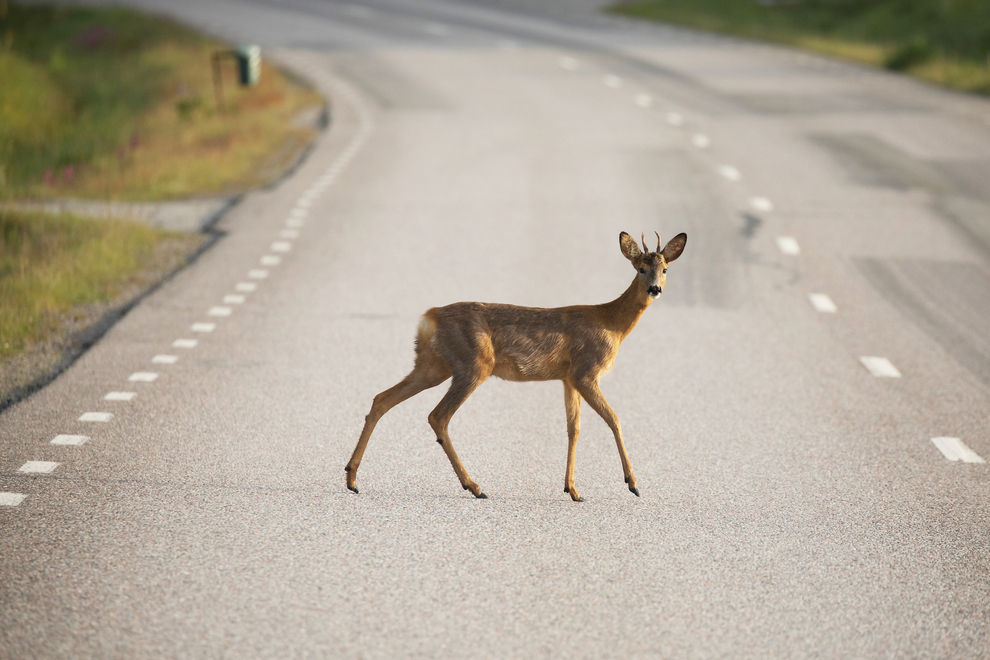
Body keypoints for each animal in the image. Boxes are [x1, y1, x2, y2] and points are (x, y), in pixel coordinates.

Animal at [348, 231, 688, 500]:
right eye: (641, 268)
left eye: (665, 269)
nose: (655, 289)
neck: (612, 324)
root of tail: (428, 318)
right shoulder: (586, 371)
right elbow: (614, 419)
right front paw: (632, 483)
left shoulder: (567, 377)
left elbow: (573, 428)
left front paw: (573, 489)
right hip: (473, 364)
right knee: (437, 415)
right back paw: (475, 486)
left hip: (432, 365)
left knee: (382, 398)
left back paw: (351, 478)